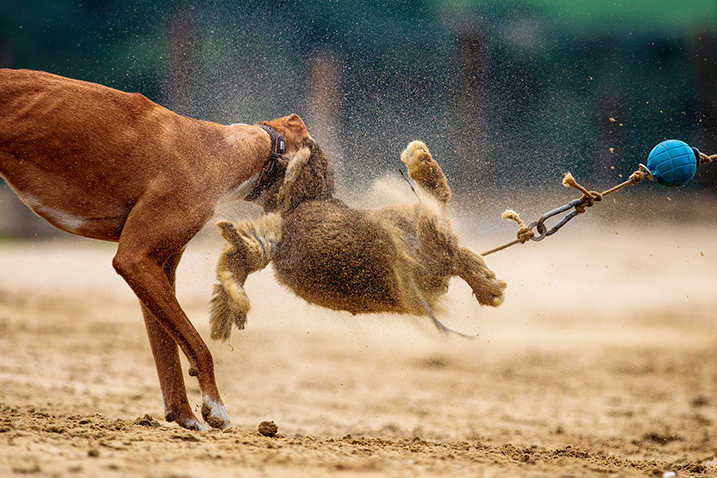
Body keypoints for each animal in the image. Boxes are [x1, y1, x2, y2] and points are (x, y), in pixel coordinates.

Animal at [0, 69, 314, 432]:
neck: (219, 152)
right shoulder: (135, 260)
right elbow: (198, 346)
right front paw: (214, 407)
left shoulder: (156, 269)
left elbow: (169, 353)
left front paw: (186, 416)